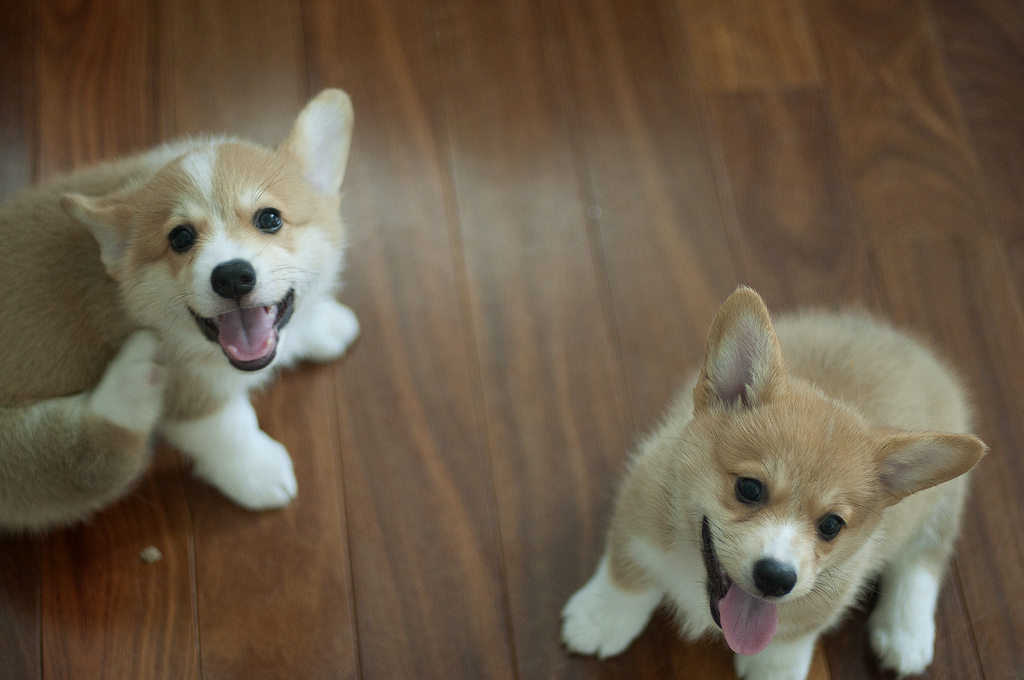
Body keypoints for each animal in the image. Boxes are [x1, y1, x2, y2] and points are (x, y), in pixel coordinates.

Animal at [0, 87, 360, 532]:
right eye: (181, 237)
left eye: (270, 219)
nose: (232, 276)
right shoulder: (192, 391)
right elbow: (226, 426)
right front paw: (257, 471)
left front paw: (323, 323)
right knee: (95, 458)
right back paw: (132, 377)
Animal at [565, 286, 987, 680]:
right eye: (749, 488)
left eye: (831, 525)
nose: (776, 578)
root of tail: (908, 344)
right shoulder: (639, 509)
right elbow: (627, 574)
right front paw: (599, 620)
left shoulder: (823, 601)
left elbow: (787, 642)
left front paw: (774, 670)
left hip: (941, 507)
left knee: (924, 558)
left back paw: (906, 635)